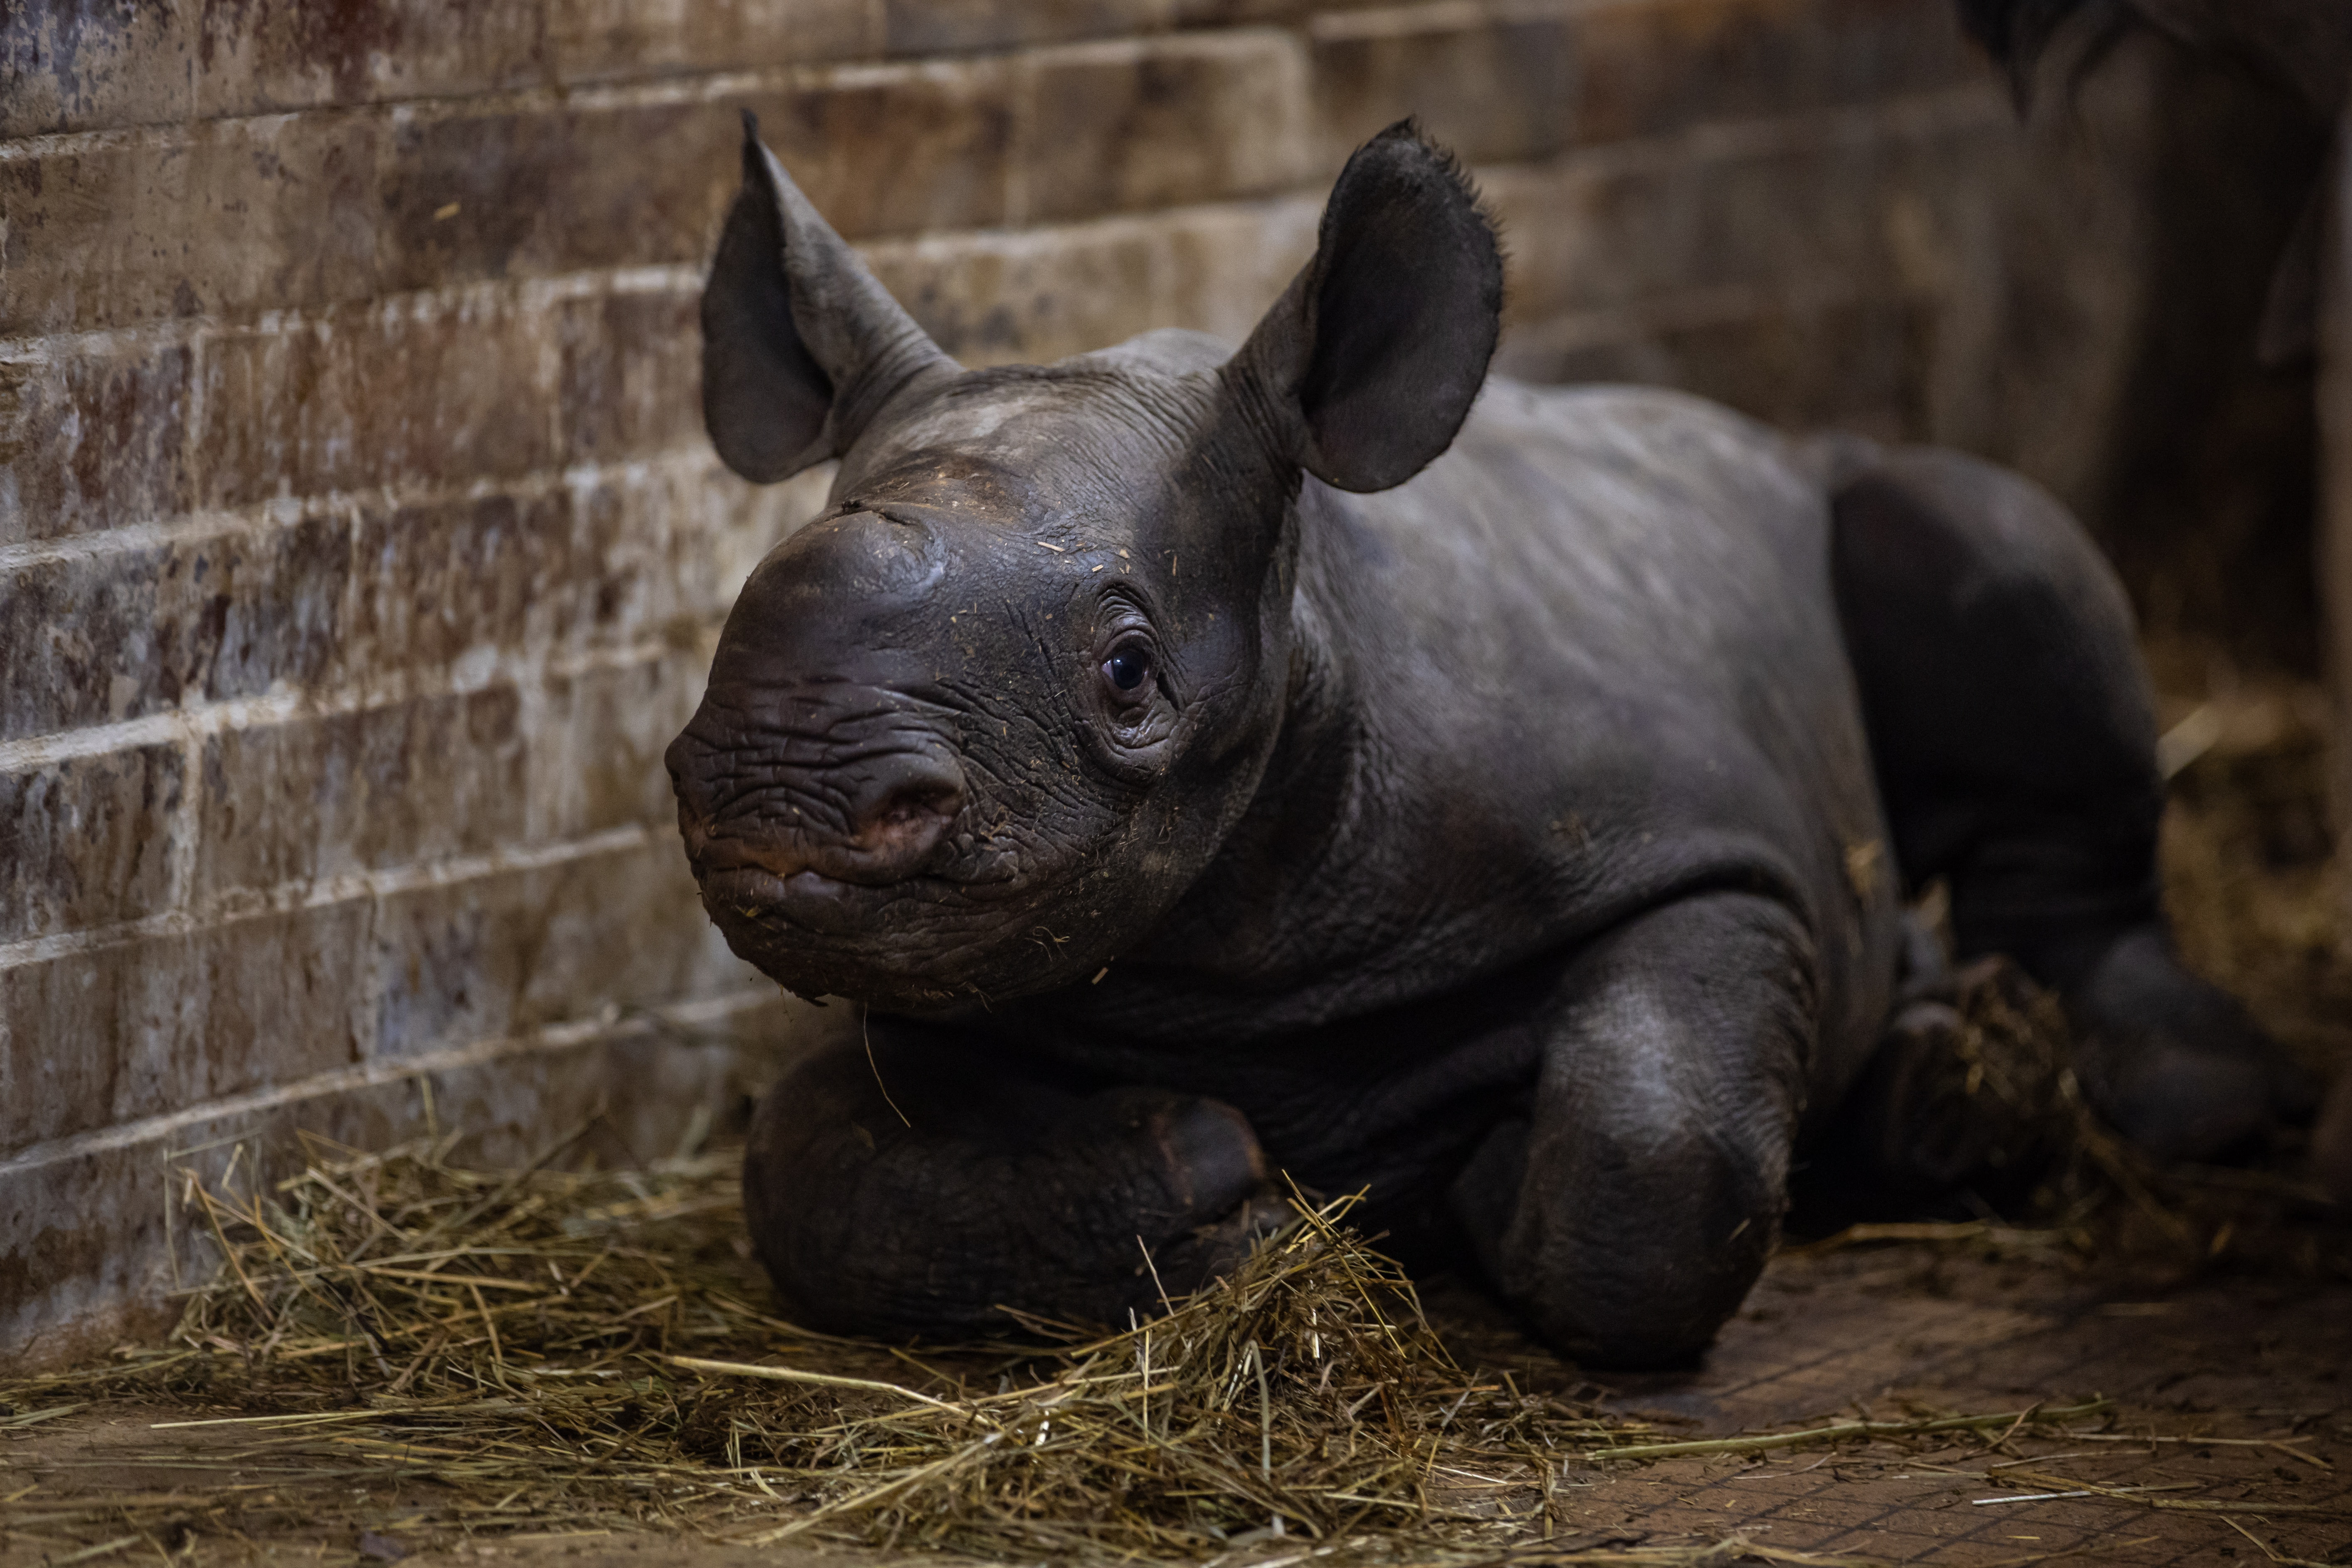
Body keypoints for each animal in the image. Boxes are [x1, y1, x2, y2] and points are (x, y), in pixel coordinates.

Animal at [666, 115, 2309, 1367]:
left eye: (1129, 675)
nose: (777, 791)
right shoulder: (950, 962)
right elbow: (806, 1174)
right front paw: (1212, 1191)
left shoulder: (1707, 855)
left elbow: (1651, 1157)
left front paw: (1487, 1176)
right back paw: (1954, 1082)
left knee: (1995, 539)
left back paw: (2170, 1094)